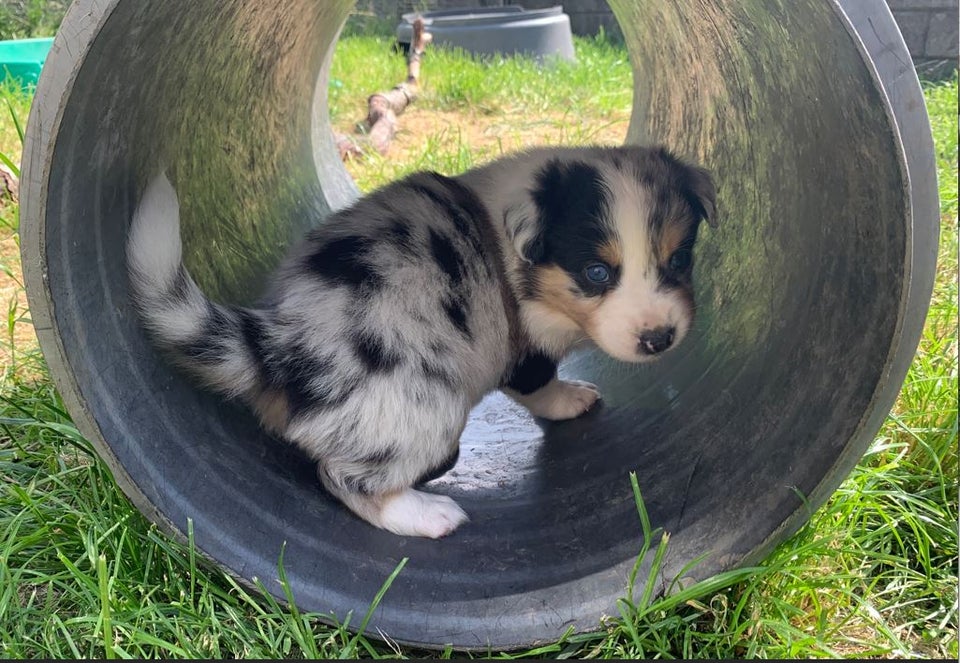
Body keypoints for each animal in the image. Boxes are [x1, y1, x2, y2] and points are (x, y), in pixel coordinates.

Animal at [125, 145, 712, 540]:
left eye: (680, 259)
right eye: (596, 272)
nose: (660, 338)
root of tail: (277, 342)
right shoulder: (524, 347)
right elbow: (539, 384)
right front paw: (571, 400)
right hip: (421, 407)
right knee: (343, 478)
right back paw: (428, 514)